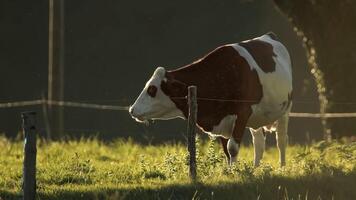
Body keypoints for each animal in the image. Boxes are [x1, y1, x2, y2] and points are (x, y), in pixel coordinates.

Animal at [129, 32, 294, 167]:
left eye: (152, 89)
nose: (132, 110)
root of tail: (269, 35)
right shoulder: (224, 121)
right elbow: (226, 150)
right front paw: (229, 171)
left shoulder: (243, 112)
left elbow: (233, 148)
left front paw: (234, 171)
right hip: (257, 118)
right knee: (259, 143)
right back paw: (255, 168)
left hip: (285, 109)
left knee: (281, 141)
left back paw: (282, 168)